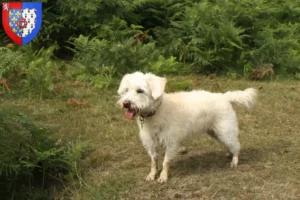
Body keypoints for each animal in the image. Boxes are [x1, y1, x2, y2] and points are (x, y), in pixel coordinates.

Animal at [116, 72, 256, 183]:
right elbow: (153, 161)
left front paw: (163, 177)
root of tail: (224, 96)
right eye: (126, 90)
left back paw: (234, 160)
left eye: (140, 91)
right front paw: (152, 175)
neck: (156, 111)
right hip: (216, 132)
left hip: (225, 131)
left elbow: (165, 162)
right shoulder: (150, 142)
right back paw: (229, 154)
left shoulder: (171, 143)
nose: (126, 103)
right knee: (230, 144)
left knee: (236, 145)